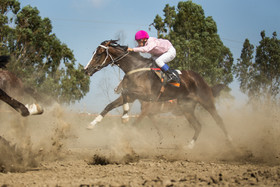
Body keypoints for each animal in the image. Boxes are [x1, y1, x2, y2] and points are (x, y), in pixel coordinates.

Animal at [83, 39, 232, 149]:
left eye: (99, 54)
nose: (86, 70)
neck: (135, 68)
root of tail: (201, 80)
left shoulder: (148, 97)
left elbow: (133, 117)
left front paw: (125, 119)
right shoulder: (134, 97)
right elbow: (110, 105)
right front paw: (91, 124)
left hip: (206, 101)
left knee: (219, 120)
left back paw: (229, 141)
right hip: (186, 107)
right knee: (198, 126)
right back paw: (189, 146)